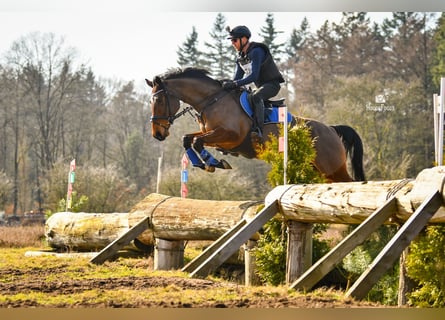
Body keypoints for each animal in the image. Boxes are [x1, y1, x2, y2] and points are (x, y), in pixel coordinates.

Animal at [146, 67, 364, 182]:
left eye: (159, 101)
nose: (157, 133)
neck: (212, 100)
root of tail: (332, 129)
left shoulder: (230, 136)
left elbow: (197, 142)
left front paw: (214, 163)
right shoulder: (215, 136)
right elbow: (188, 139)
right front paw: (204, 163)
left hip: (332, 168)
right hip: (319, 170)